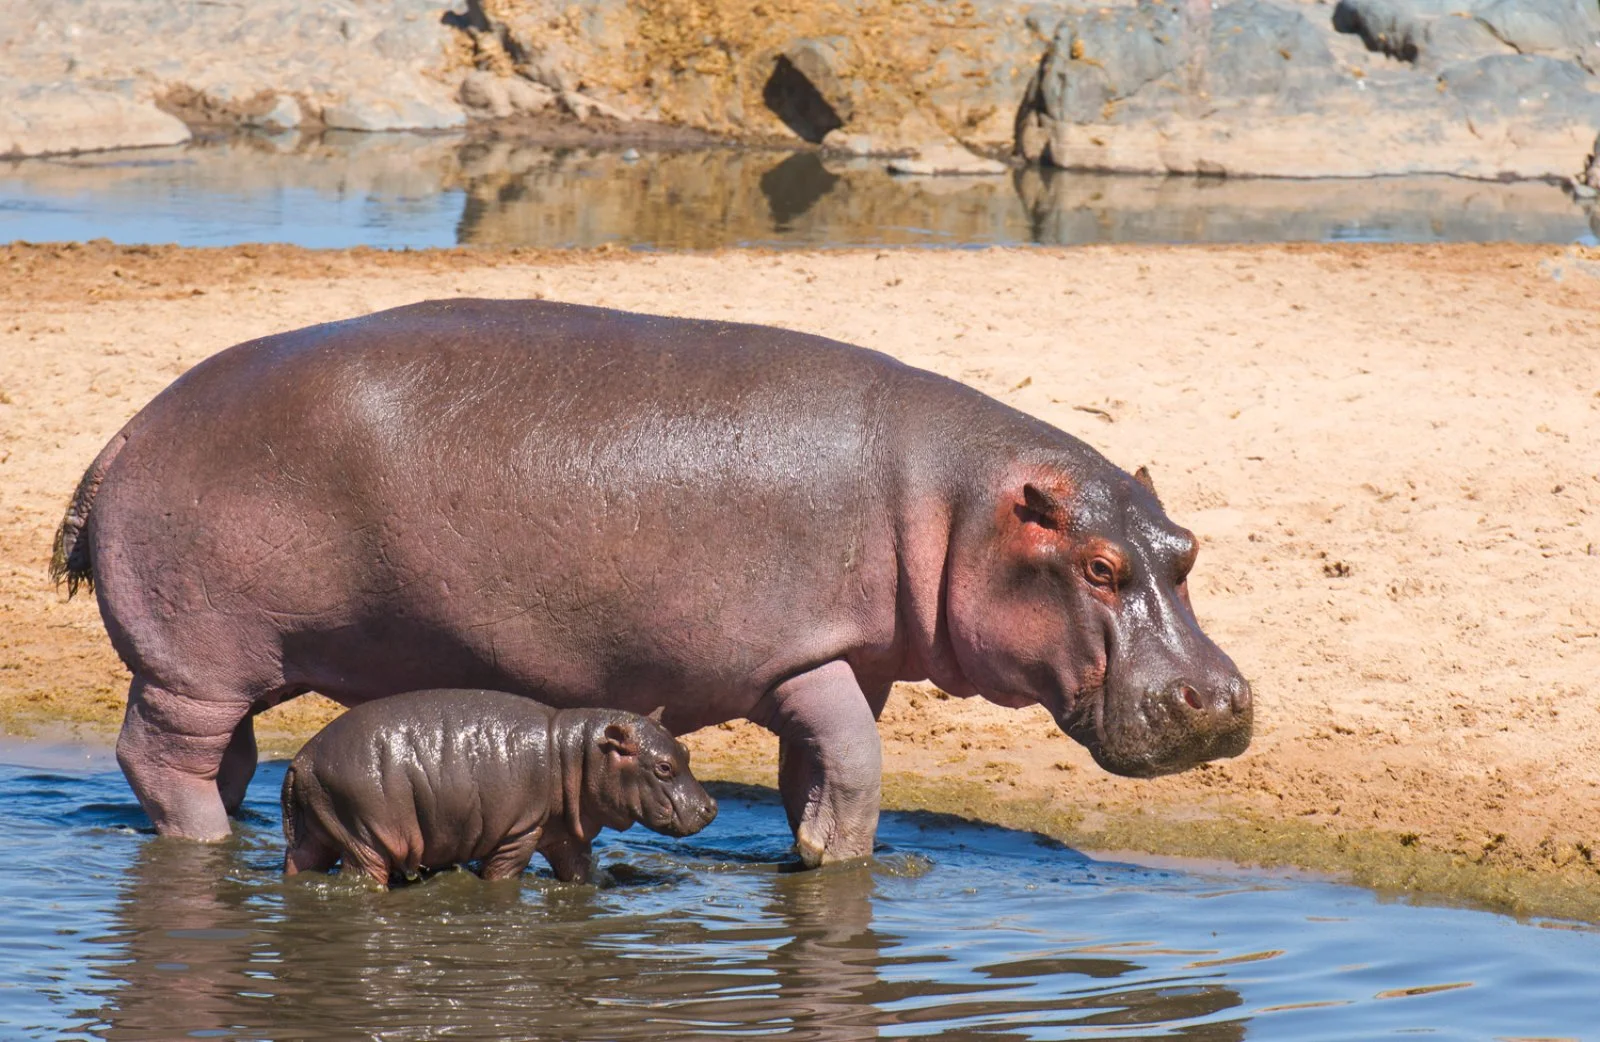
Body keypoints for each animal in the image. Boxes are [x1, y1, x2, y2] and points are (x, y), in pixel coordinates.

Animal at [281, 688, 720, 883]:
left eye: (685, 750)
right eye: (663, 767)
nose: (711, 807)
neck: (576, 751)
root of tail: (302, 759)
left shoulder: (566, 833)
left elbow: (580, 872)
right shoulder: (519, 833)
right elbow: (502, 876)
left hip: (318, 829)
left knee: (299, 862)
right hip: (365, 835)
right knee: (362, 876)